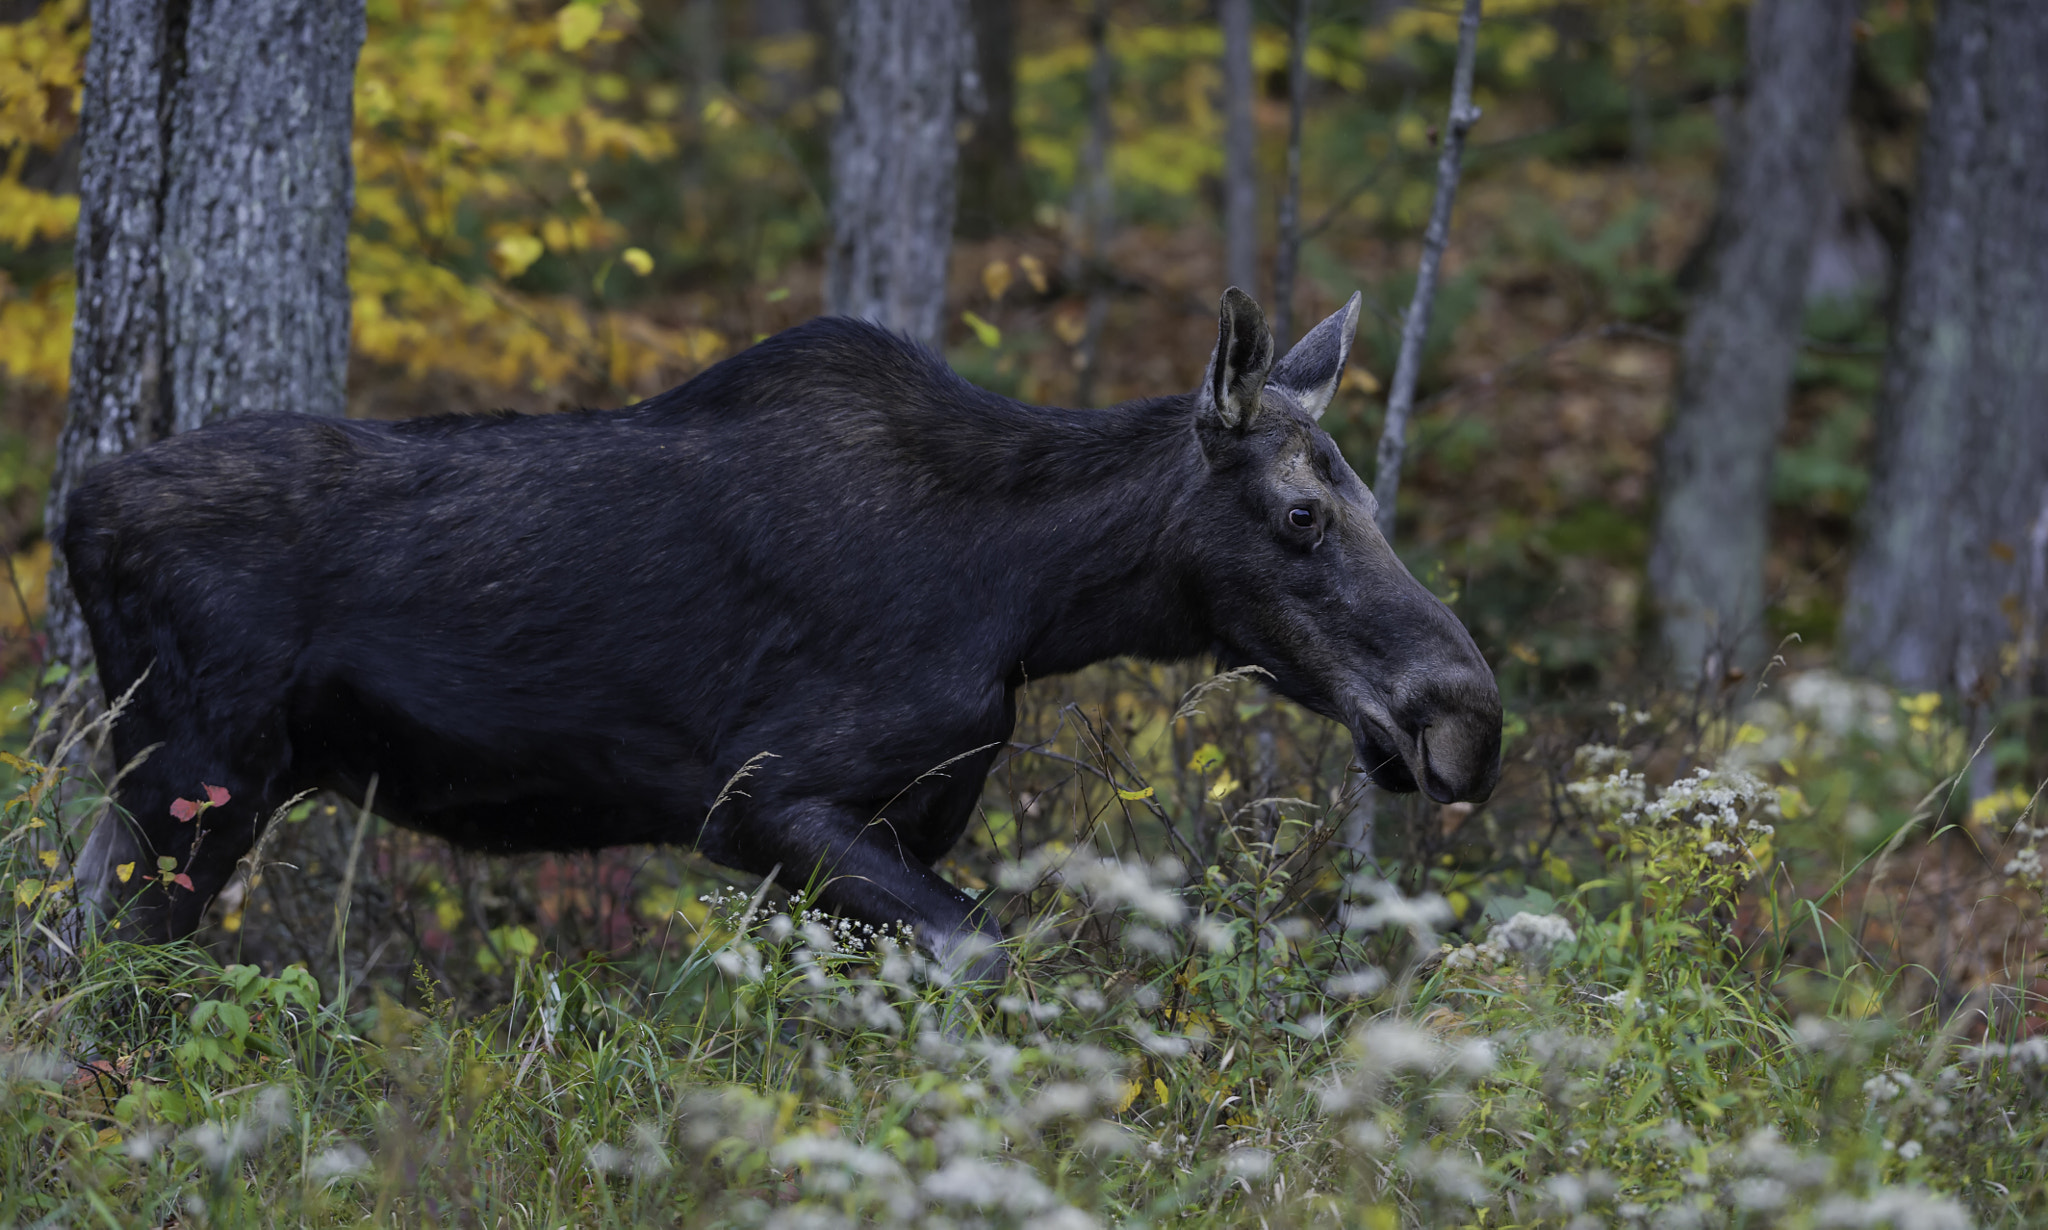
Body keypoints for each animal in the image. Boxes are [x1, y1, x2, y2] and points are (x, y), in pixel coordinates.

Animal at [68, 288, 1507, 970]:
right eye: (1300, 513)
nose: (1468, 719)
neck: (1030, 603)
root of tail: (73, 503)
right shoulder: (756, 799)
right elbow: (983, 955)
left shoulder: (907, 821)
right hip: (197, 777)